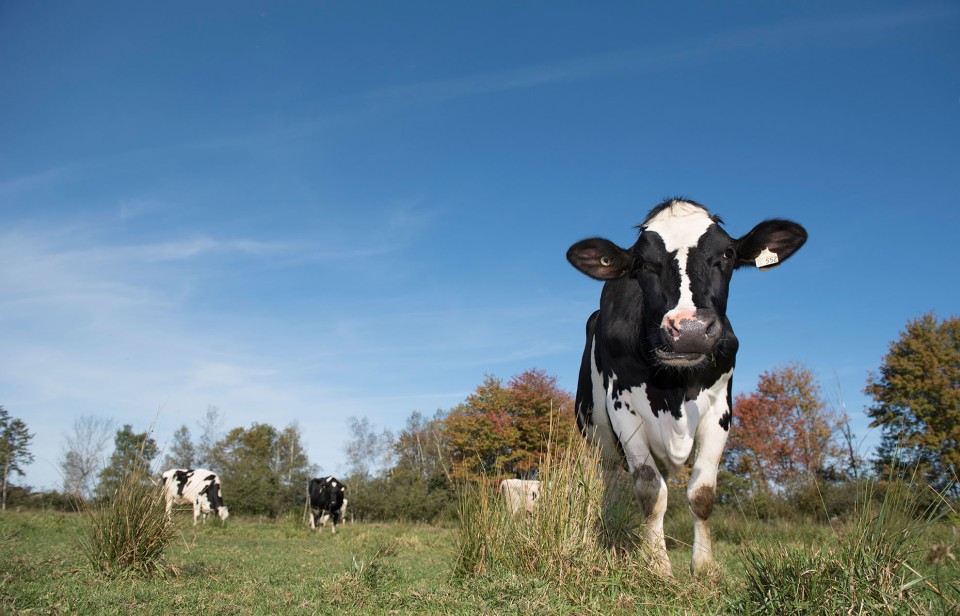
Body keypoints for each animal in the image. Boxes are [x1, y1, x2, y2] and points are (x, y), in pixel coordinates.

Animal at [568, 197, 808, 572]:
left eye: (727, 253)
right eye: (640, 263)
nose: (690, 329)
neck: (674, 388)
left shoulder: (720, 410)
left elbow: (702, 493)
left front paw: (704, 568)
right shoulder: (623, 407)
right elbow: (649, 490)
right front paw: (659, 568)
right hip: (600, 437)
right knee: (611, 483)